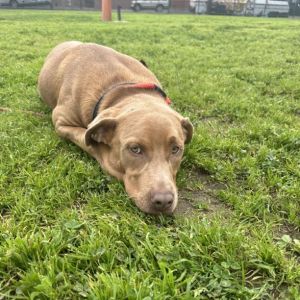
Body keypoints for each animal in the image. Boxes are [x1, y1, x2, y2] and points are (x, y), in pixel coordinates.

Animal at [38, 42, 192, 214]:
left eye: (176, 149)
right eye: (135, 149)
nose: (164, 201)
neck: (123, 89)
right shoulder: (61, 121)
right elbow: (90, 144)